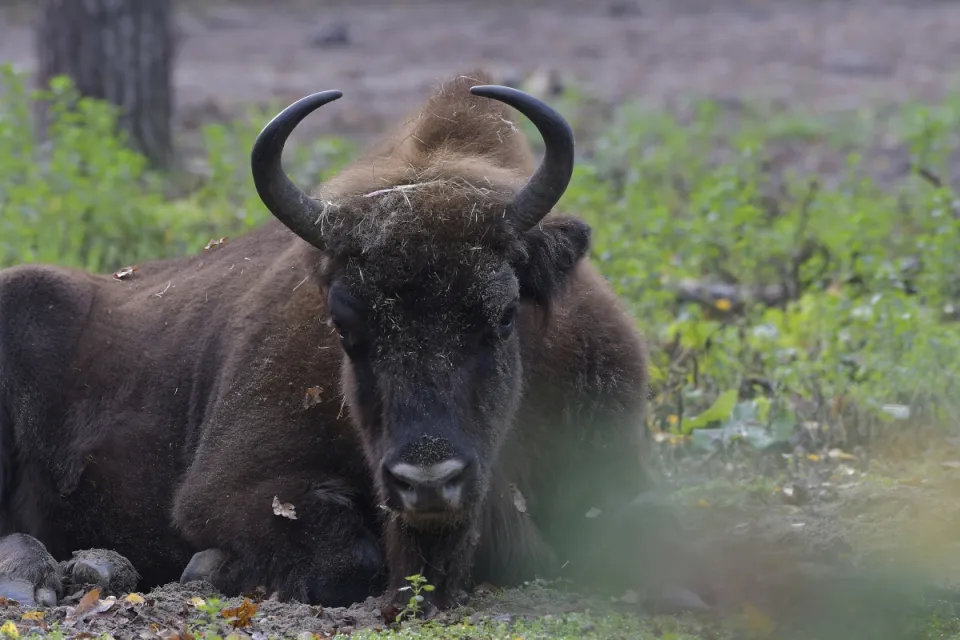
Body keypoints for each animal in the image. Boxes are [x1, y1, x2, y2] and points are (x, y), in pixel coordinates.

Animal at [0, 70, 681, 613]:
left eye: (505, 312)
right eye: (344, 326)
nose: (427, 480)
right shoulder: (226, 490)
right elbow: (348, 556)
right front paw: (206, 569)